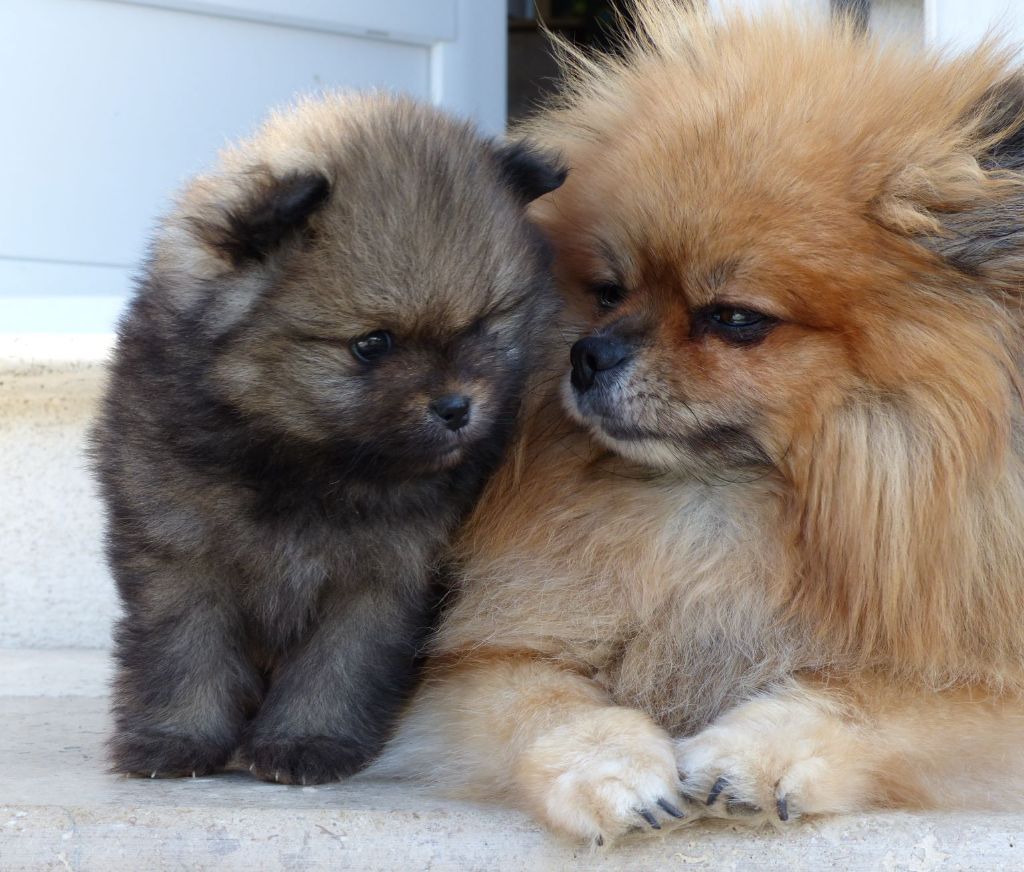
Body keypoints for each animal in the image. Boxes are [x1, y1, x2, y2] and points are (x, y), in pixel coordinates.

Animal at [92, 93, 564, 783]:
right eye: (372, 344)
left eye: (484, 326)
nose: (457, 407)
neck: (303, 465)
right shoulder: (180, 556)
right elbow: (183, 655)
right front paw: (173, 739)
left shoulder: (382, 576)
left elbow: (337, 667)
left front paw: (307, 740)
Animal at [376, 1, 1024, 844]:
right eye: (609, 292)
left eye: (734, 319)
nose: (588, 355)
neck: (722, 516)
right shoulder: (478, 666)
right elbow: (547, 705)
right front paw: (614, 770)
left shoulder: (985, 686)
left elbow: (868, 698)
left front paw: (754, 754)